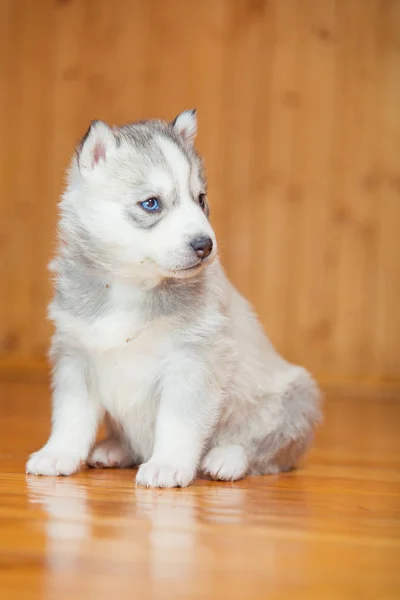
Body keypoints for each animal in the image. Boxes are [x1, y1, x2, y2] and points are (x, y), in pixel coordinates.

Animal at [25, 111, 322, 488]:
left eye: (201, 199)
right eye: (151, 203)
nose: (205, 244)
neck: (129, 284)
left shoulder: (192, 361)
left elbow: (179, 424)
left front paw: (167, 464)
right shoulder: (76, 356)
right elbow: (71, 417)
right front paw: (59, 453)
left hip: (293, 397)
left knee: (262, 450)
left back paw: (227, 459)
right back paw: (114, 449)